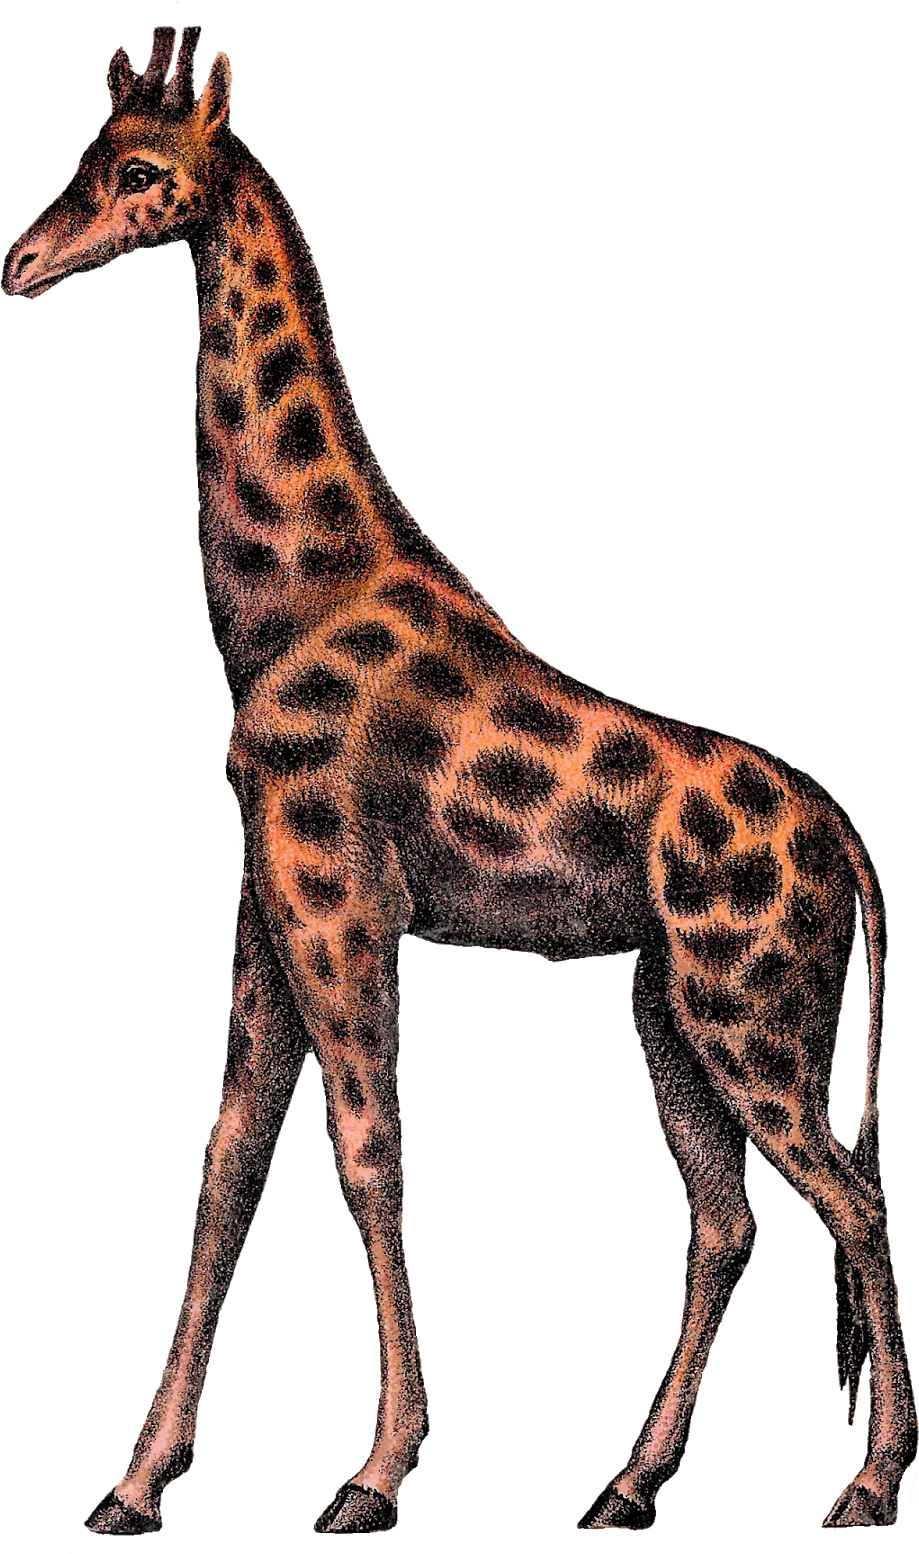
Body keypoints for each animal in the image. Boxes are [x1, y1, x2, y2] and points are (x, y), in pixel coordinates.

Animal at [4, 25, 913, 1535]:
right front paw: (136, 1481)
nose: (20, 263)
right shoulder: (266, 898)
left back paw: (871, 1481)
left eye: (136, 173)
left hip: (748, 1004)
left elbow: (367, 1159)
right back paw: (626, 1484)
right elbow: (226, 1167)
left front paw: (372, 1474)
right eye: (79, 156)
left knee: (850, 1200)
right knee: (731, 1215)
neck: (285, 600)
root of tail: (846, 842)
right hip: (672, 1003)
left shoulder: (341, 897)